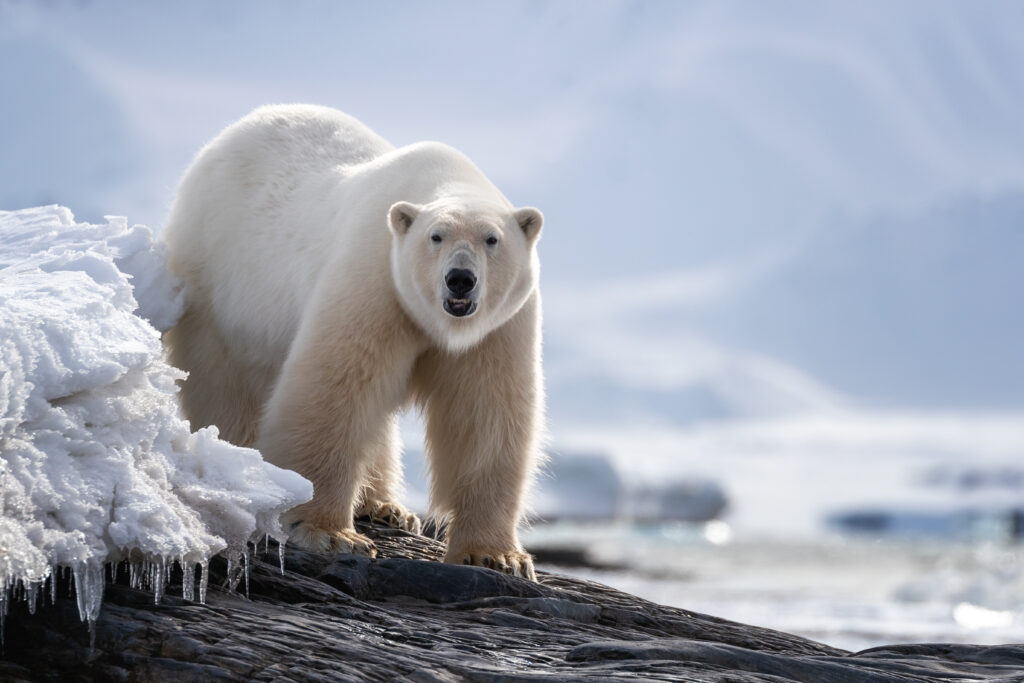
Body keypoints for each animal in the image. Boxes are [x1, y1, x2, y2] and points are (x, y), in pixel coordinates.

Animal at [162, 104, 544, 581]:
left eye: (492, 239)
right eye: (435, 237)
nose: (460, 279)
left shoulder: (498, 328)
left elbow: (486, 414)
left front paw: (498, 557)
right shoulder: (374, 279)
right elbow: (335, 390)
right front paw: (329, 533)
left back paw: (385, 507)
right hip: (217, 287)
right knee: (225, 390)